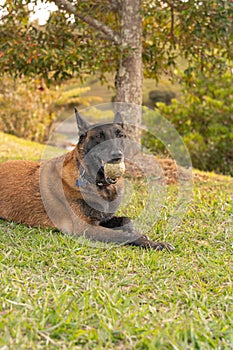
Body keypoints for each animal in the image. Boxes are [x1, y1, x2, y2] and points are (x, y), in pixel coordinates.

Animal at [0, 108, 174, 250]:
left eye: (121, 135)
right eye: (98, 136)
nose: (117, 156)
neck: (99, 184)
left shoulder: (103, 219)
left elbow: (126, 220)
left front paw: (143, 235)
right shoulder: (86, 228)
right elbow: (123, 235)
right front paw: (154, 243)